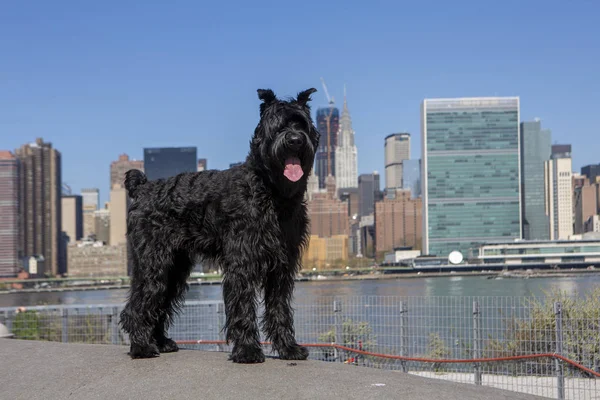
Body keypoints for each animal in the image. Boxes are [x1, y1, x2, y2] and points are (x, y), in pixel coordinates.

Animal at [119, 87, 322, 362]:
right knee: (140, 304)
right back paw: (142, 347)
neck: (270, 190)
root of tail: (142, 188)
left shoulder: (282, 265)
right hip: (154, 263)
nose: (294, 140)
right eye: (277, 125)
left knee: (160, 301)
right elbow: (243, 307)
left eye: (302, 124)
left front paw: (289, 348)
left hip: (174, 267)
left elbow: (279, 308)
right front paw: (247, 350)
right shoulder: (242, 262)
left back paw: (161, 342)